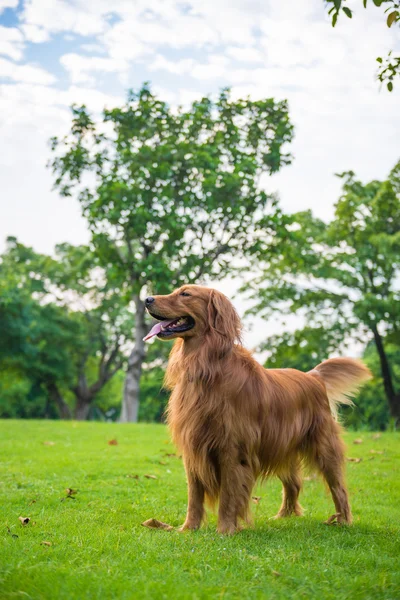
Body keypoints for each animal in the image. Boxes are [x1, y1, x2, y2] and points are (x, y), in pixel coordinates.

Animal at [142, 286, 370, 536]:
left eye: (185, 294)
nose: (147, 299)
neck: (208, 368)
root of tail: (313, 377)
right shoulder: (193, 446)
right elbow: (194, 496)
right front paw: (188, 529)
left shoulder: (232, 449)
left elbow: (228, 496)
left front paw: (225, 531)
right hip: (280, 446)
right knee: (293, 483)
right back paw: (283, 516)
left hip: (323, 446)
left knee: (339, 487)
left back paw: (344, 520)